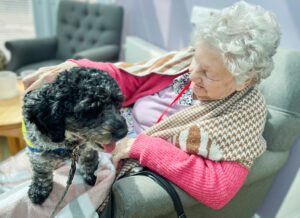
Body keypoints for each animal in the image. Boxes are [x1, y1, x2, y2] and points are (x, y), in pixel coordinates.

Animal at [22, 66, 127, 204]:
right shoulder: (37, 153)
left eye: (118, 103)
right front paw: (39, 190)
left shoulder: (87, 148)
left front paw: (91, 173)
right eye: (91, 110)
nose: (123, 132)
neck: (69, 141)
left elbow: (88, 159)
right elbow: (41, 172)